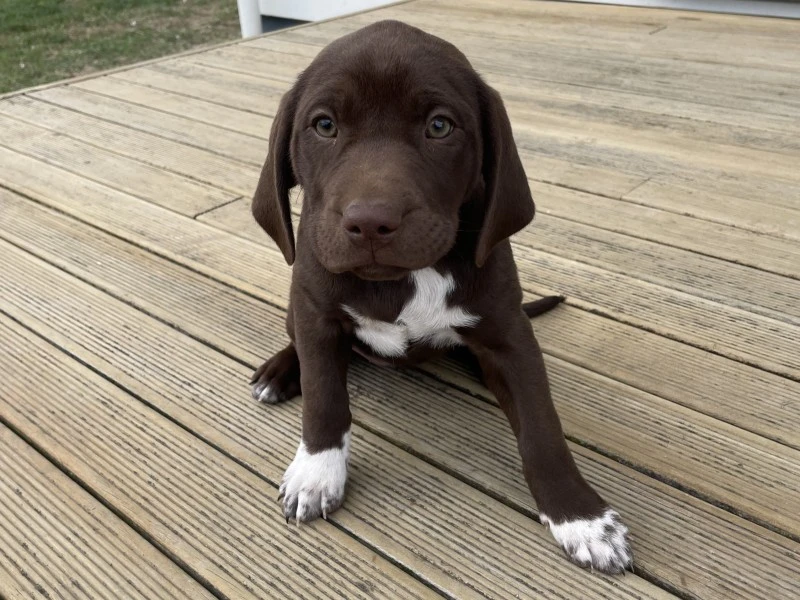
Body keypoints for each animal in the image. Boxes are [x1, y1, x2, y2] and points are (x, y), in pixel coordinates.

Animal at [250, 18, 632, 576]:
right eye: (323, 125)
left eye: (438, 127)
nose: (371, 222)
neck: (405, 279)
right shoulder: (316, 315)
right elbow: (324, 399)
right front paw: (317, 474)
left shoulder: (510, 337)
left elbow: (542, 428)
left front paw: (580, 517)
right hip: (294, 307)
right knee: (297, 343)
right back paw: (279, 371)